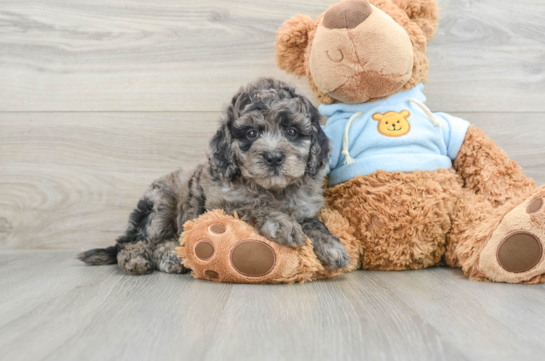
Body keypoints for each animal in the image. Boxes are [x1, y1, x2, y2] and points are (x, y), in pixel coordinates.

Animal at [77, 76, 348, 272]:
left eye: (292, 131)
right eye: (251, 134)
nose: (273, 157)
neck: (271, 190)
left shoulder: (305, 208)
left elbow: (316, 224)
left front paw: (332, 246)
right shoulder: (221, 205)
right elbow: (252, 206)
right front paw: (282, 224)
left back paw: (171, 256)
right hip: (160, 204)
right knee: (133, 241)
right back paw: (135, 259)